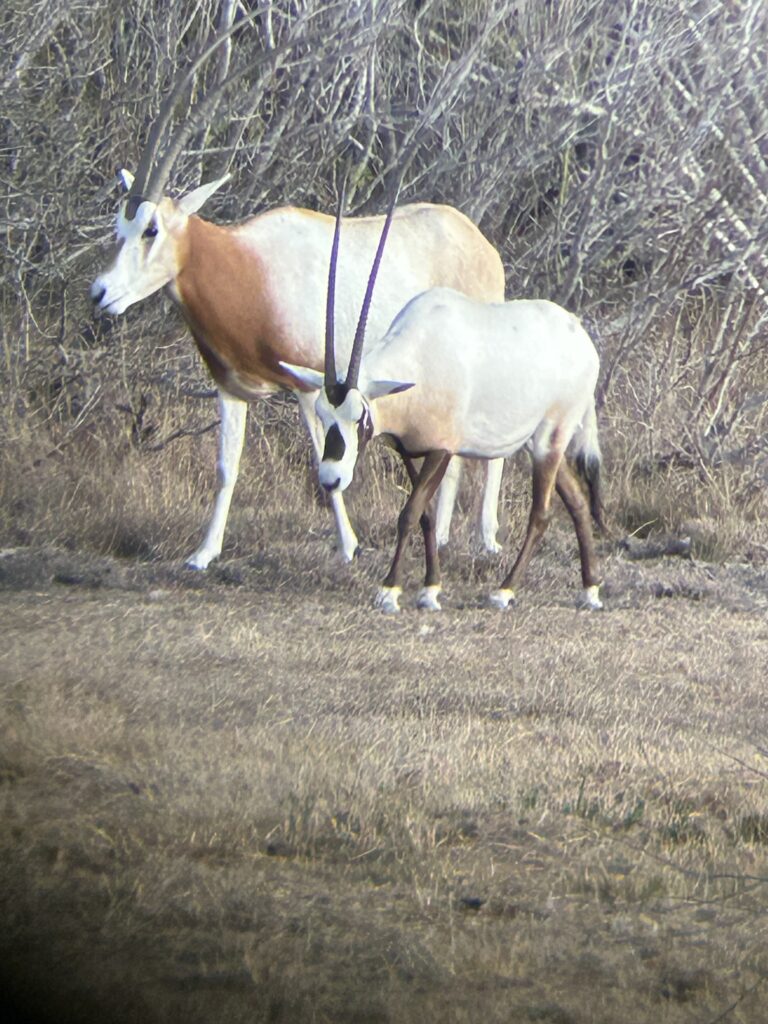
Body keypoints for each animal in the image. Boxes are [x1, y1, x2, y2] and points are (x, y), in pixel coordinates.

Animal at [89, 47, 507, 568]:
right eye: (119, 225)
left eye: (151, 229)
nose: (100, 292)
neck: (249, 267)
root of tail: (480, 242)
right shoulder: (232, 390)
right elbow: (226, 467)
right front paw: (203, 553)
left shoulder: (310, 387)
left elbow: (321, 461)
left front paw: (348, 546)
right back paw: (446, 536)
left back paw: (486, 538)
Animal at [282, 193, 605, 612]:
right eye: (323, 413)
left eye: (360, 416)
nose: (330, 478)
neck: (418, 360)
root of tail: (581, 337)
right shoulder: (408, 449)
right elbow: (426, 518)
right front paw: (430, 588)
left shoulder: (443, 449)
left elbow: (410, 513)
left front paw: (390, 590)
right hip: (537, 443)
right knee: (578, 502)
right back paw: (590, 589)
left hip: (552, 437)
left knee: (542, 513)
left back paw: (505, 590)